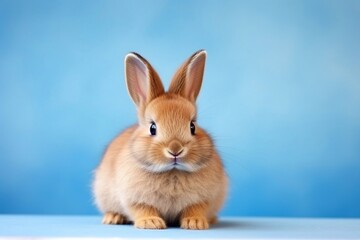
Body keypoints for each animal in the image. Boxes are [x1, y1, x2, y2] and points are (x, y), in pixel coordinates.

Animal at [93, 49, 228, 230]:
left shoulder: (202, 199)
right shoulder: (135, 199)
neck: (172, 171)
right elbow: (143, 209)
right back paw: (113, 218)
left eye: (192, 126)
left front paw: (196, 223)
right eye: (152, 128)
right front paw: (151, 222)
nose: (175, 149)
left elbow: (194, 209)